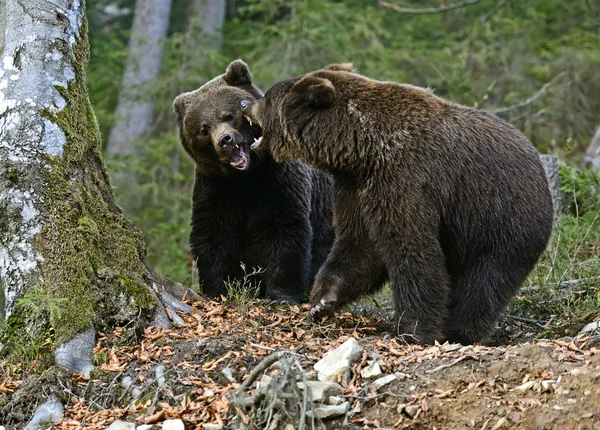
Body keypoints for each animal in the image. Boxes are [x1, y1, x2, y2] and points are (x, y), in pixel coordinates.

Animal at [173, 60, 336, 304]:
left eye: (228, 115)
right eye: (203, 129)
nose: (225, 140)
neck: (246, 178)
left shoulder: (277, 180)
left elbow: (283, 229)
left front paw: (280, 295)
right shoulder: (216, 187)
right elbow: (213, 234)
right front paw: (218, 290)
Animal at [241, 63, 552, 342]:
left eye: (267, 97)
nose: (246, 107)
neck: (363, 149)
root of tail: (537, 159)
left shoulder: (405, 181)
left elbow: (412, 251)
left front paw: (410, 331)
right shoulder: (356, 188)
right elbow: (359, 245)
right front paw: (322, 302)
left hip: (501, 217)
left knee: (485, 281)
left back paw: (460, 331)